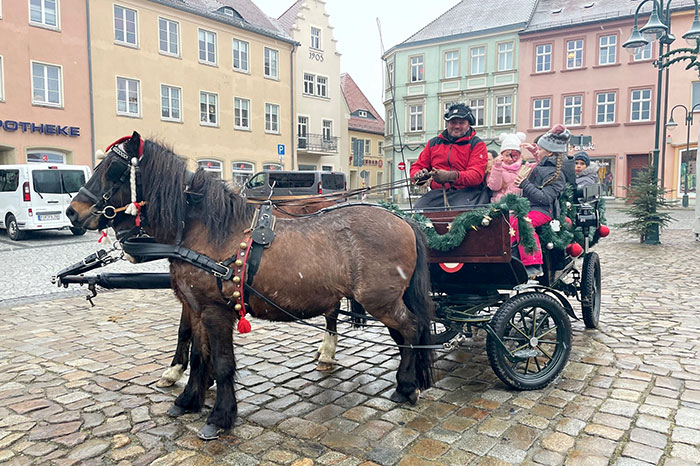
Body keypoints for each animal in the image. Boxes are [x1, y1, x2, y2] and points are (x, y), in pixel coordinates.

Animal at [68, 132, 434, 440]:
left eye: (113, 170)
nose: (72, 212)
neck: (205, 232)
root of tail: (403, 219)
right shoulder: (196, 309)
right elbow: (199, 355)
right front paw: (189, 398)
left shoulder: (216, 312)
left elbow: (222, 363)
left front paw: (219, 416)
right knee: (403, 334)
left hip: (380, 301)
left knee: (412, 329)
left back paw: (405, 386)